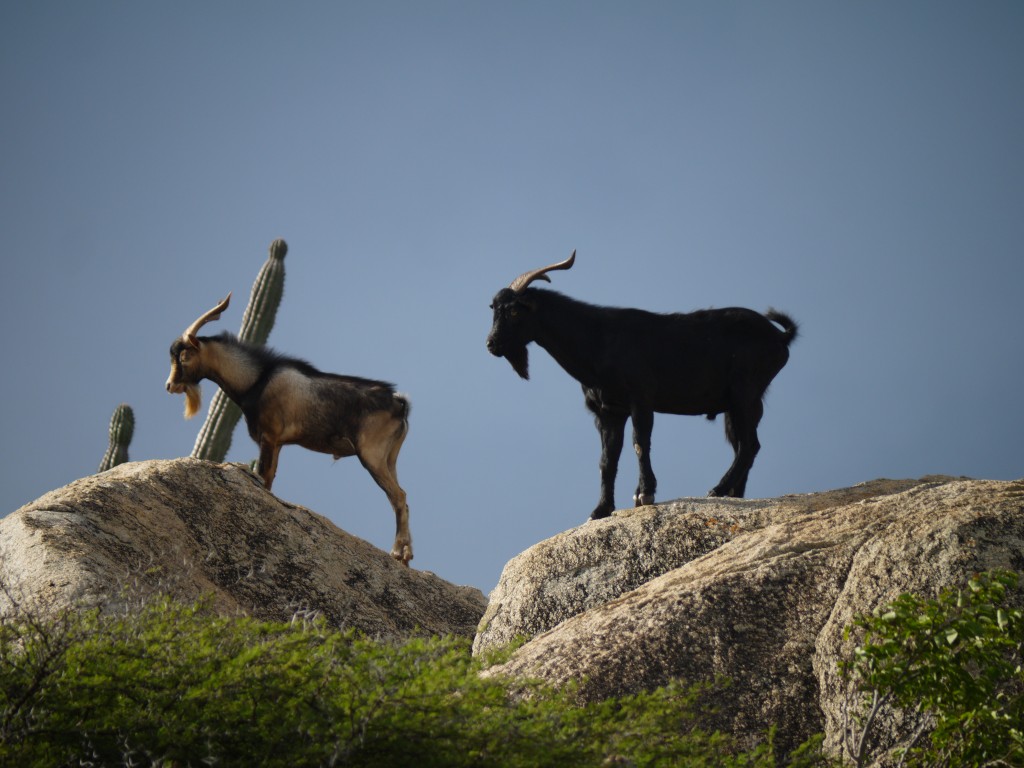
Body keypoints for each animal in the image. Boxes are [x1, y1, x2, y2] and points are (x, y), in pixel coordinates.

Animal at [163, 294, 411, 565]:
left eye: (183, 356)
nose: (170, 385)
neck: (257, 380)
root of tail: (399, 403)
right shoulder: (278, 443)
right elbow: (269, 479)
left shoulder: (269, 437)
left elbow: (264, 478)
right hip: (390, 458)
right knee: (400, 497)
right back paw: (405, 556)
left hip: (371, 455)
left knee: (398, 496)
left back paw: (399, 553)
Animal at [487, 252, 798, 524]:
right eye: (493, 309)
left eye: (514, 311)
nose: (491, 344)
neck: (598, 341)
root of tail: (780, 337)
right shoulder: (608, 412)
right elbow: (607, 460)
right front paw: (600, 510)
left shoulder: (640, 400)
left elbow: (640, 443)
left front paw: (644, 495)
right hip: (738, 404)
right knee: (742, 445)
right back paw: (733, 495)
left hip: (744, 392)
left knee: (749, 445)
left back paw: (717, 490)